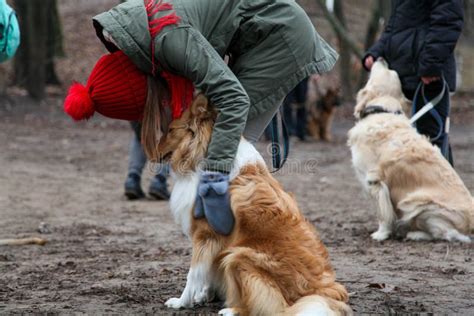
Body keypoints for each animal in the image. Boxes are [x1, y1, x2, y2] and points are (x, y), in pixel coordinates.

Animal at [159, 96, 352, 316]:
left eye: (171, 130)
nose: (153, 152)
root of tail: (323, 291)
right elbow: (207, 272)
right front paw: (204, 295)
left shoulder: (206, 235)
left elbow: (193, 274)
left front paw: (181, 302)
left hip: (238, 256)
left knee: (272, 308)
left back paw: (232, 310)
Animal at [346, 59, 472, 242]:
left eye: (389, 71)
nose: (381, 59)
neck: (383, 110)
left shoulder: (374, 180)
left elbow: (382, 213)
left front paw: (381, 234)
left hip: (417, 203)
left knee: (445, 234)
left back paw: (414, 234)